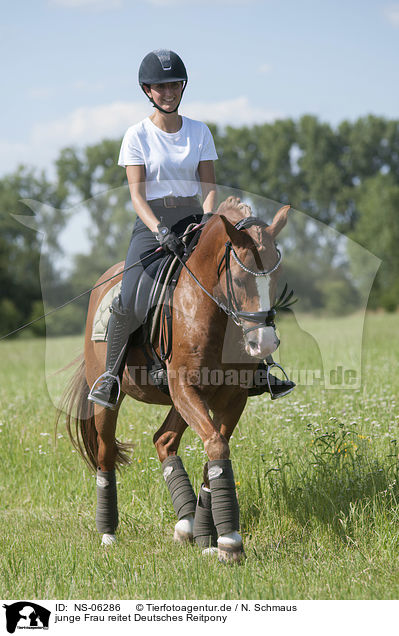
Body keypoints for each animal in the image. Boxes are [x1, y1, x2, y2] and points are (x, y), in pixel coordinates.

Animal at [60, 198, 290, 560]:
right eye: (240, 280)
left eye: (277, 275)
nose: (263, 344)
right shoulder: (184, 388)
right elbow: (216, 444)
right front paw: (229, 540)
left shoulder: (230, 396)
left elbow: (215, 447)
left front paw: (212, 536)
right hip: (111, 401)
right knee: (106, 452)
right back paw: (108, 532)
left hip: (183, 401)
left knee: (164, 440)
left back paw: (187, 524)